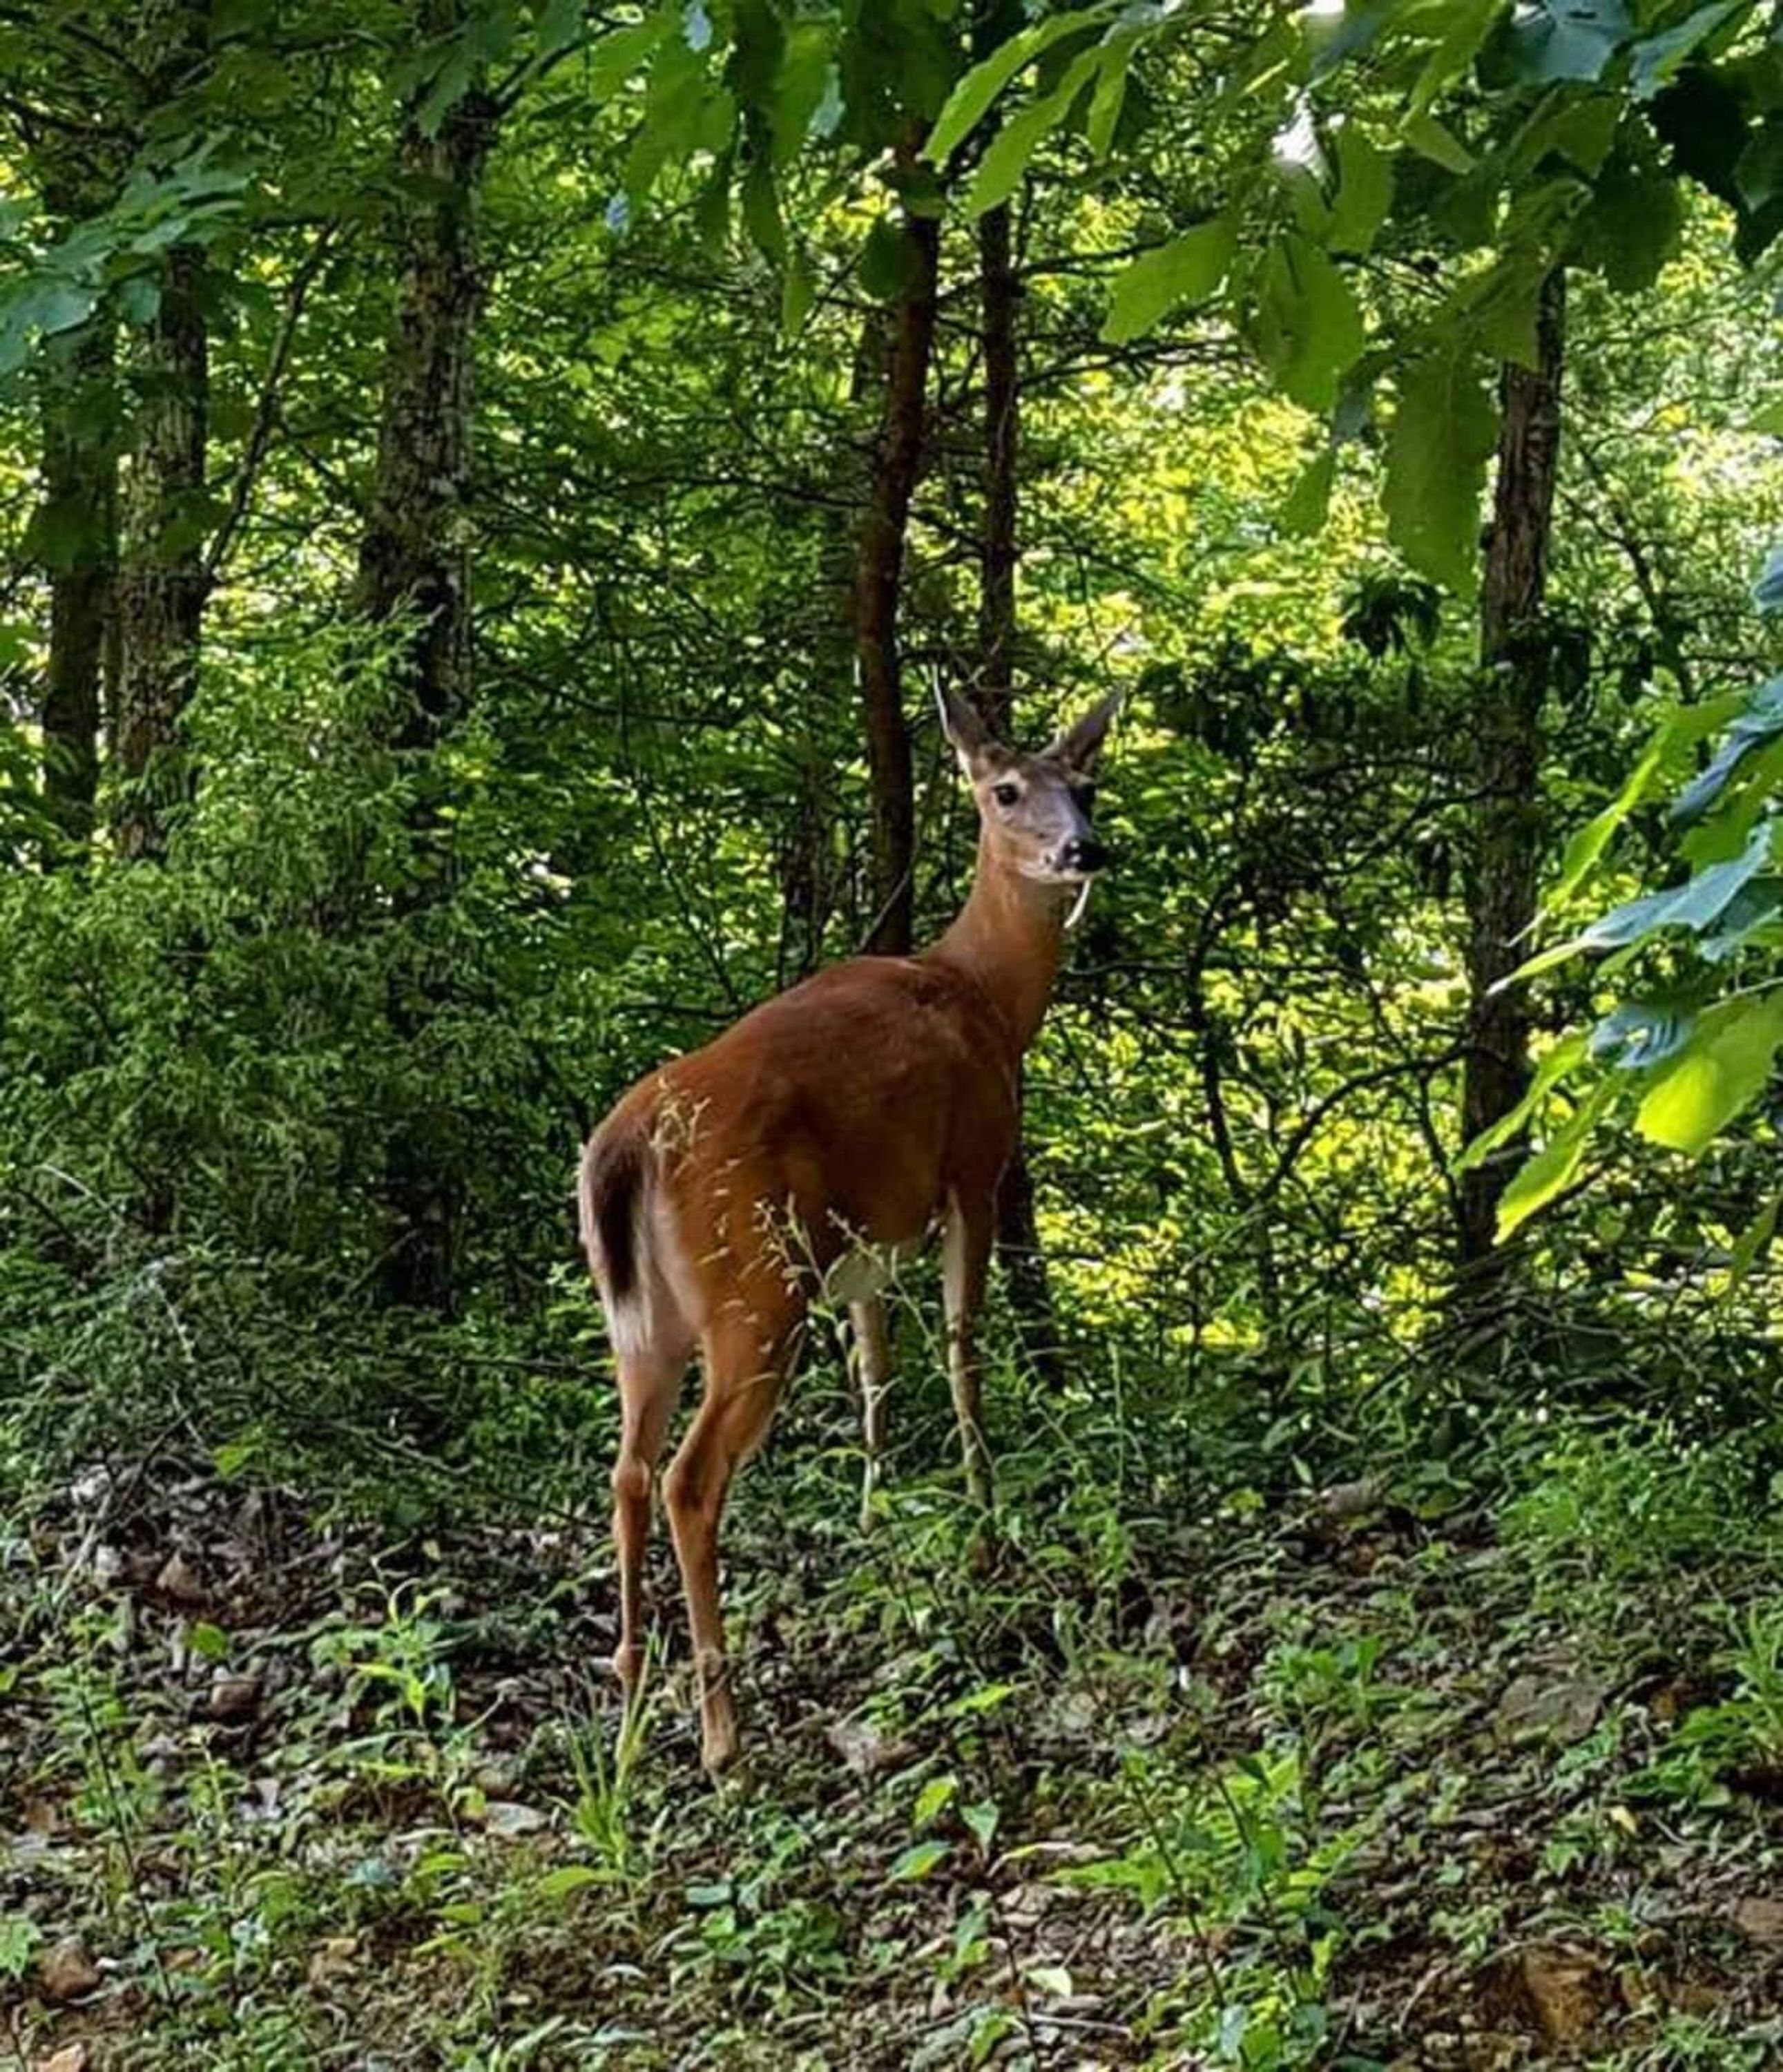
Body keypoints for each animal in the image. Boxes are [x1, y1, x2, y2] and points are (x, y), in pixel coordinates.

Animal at [579, 684, 1119, 1771]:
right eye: (1005, 790)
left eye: (1083, 785)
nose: (1081, 849)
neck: (985, 998)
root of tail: (630, 1141)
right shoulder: (972, 1170)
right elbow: (960, 1351)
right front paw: (983, 1518)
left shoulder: (868, 1244)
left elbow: (874, 1373)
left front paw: (876, 1519)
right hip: (751, 1284)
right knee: (688, 1481)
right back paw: (722, 1741)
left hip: (643, 1317)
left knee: (626, 1471)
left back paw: (629, 1702)